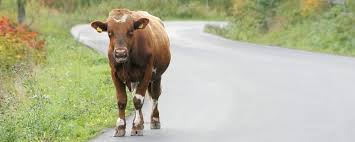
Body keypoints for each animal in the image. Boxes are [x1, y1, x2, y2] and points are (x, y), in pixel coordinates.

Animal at [90, 8, 171, 136]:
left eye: (131, 31)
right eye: (109, 32)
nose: (120, 53)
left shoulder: (147, 73)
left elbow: (138, 100)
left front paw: (136, 127)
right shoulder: (114, 74)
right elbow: (122, 100)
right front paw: (120, 127)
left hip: (157, 76)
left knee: (155, 95)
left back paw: (154, 120)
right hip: (135, 80)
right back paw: (142, 121)